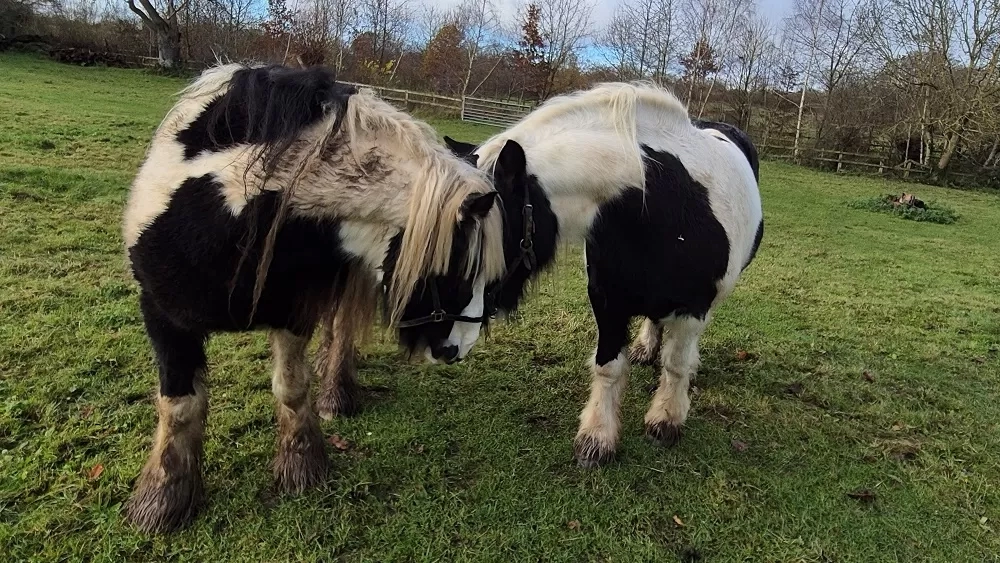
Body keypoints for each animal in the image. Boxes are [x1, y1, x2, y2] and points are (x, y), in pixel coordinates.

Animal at [122, 63, 506, 533]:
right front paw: (163, 498)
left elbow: (291, 386)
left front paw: (301, 463)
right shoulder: (163, 316)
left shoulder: (295, 311)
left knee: (340, 331)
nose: (461, 347)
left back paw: (336, 393)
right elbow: (178, 405)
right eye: (461, 268)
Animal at [437, 82, 765, 467]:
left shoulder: (692, 307)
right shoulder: (608, 302)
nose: (445, 345)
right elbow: (609, 366)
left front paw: (666, 419)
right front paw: (597, 437)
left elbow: (676, 364)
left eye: (483, 241)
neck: (662, 208)